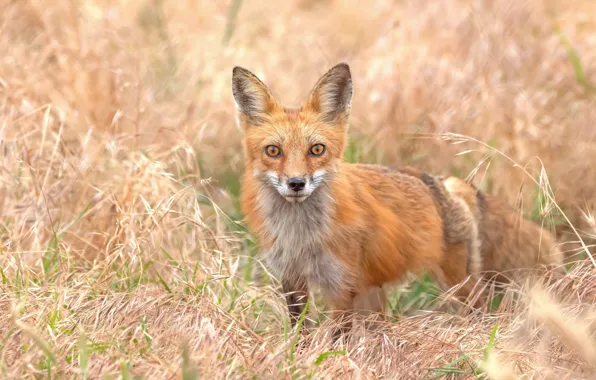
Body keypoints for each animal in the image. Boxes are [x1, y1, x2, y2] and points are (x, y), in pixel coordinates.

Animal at [232, 63, 564, 342]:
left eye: (316, 149)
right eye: (273, 151)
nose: (296, 183)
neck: (301, 235)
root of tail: (443, 182)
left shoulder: (340, 286)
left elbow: (337, 337)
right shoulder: (292, 279)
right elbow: (300, 332)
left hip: (457, 284)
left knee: (482, 312)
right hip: (375, 293)